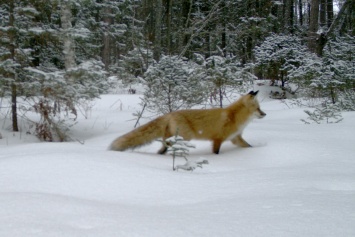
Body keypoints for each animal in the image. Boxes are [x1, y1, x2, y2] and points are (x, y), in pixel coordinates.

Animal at [110, 90, 266, 154]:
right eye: (258, 108)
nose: (265, 114)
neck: (234, 117)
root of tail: (169, 113)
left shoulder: (235, 138)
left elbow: (248, 146)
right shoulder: (218, 139)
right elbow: (216, 152)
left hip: (174, 135)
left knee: (163, 145)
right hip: (185, 137)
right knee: (167, 144)